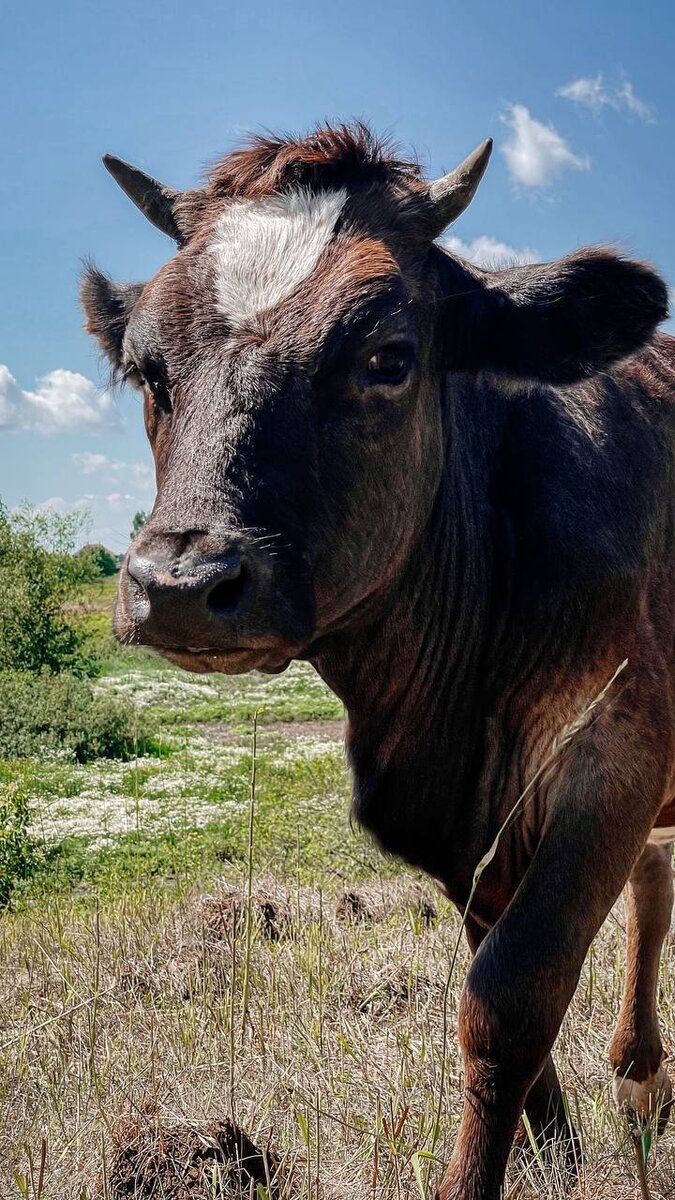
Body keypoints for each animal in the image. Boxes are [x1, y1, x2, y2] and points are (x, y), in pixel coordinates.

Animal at [79, 119, 672, 1200]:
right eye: (148, 371)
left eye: (389, 358)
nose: (179, 581)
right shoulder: (463, 823)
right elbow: (494, 966)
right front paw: (554, 1149)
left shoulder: (616, 749)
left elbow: (510, 995)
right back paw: (640, 1075)